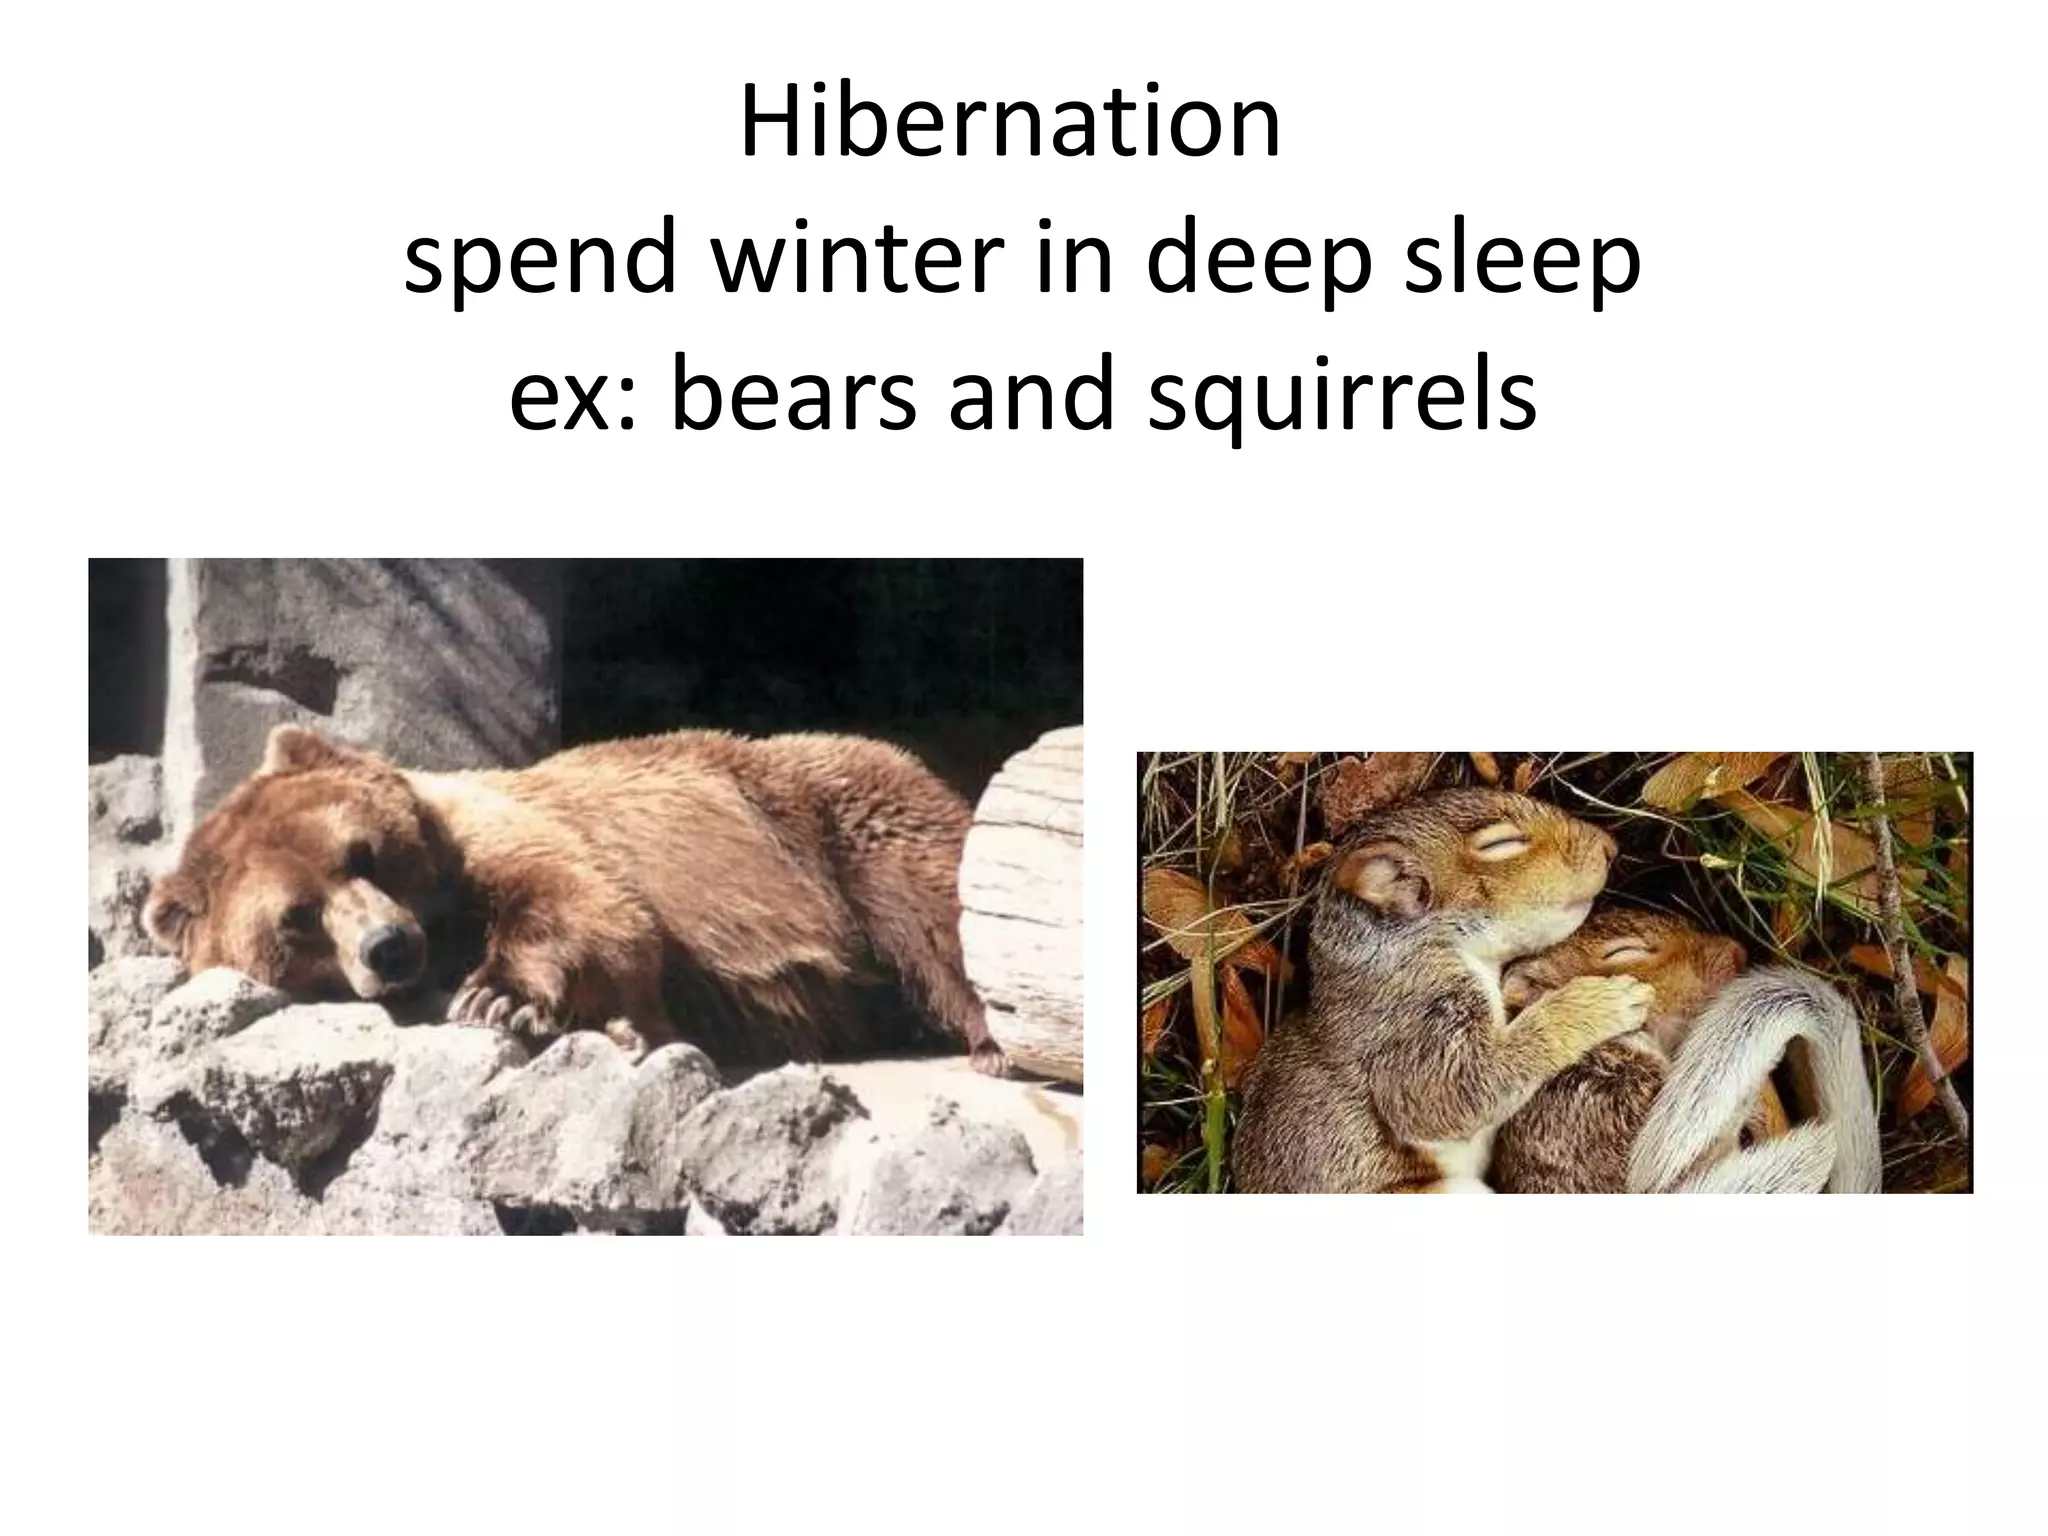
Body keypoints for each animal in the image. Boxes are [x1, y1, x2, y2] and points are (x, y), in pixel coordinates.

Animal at [144, 723, 1006, 1073]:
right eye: (298, 917)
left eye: (363, 854)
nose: (388, 948)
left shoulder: (500, 836)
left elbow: (591, 909)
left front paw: (497, 998)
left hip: (835, 817)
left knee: (934, 910)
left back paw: (990, 1042)